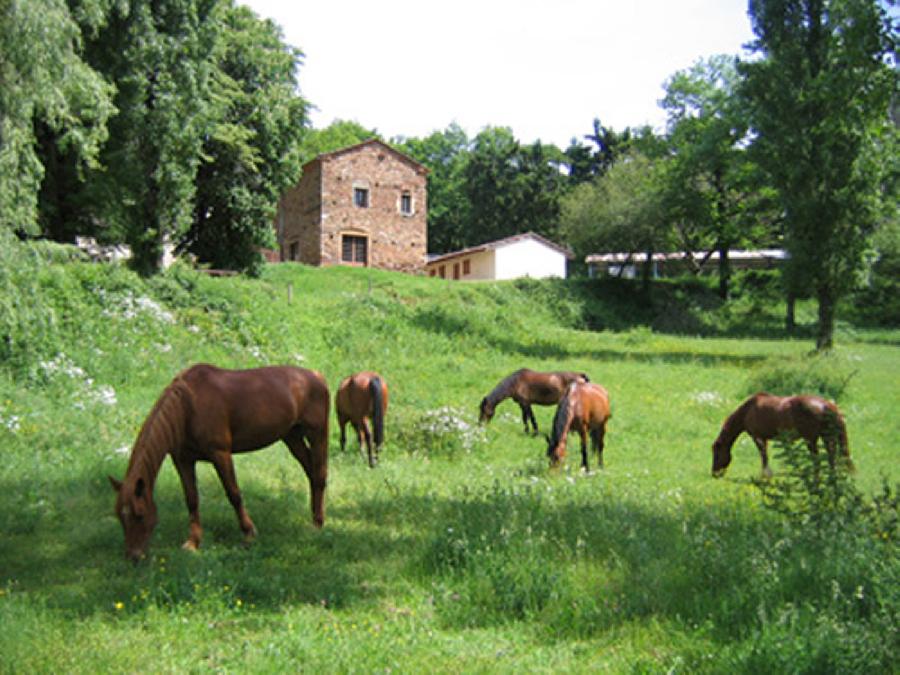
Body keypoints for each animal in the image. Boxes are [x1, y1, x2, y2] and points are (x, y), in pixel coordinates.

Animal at [107, 368, 328, 564]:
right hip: (292, 437)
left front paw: (249, 533)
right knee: (311, 473)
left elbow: (234, 494)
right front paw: (193, 543)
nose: (133, 556)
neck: (188, 405)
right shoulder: (183, 460)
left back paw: (318, 525)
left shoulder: (220, 454)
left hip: (316, 434)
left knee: (319, 476)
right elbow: (192, 499)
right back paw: (313, 519)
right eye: (119, 516)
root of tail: (316, 376)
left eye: (140, 514)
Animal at [712, 390, 852, 480]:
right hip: (826, 437)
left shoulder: (758, 437)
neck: (747, 410)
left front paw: (765, 475)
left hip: (811, 439)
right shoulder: (764, 438)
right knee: (831, 456)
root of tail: (826, 405)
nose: (714, 474)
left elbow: (764, 456)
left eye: (717, 454)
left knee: (817, 459)